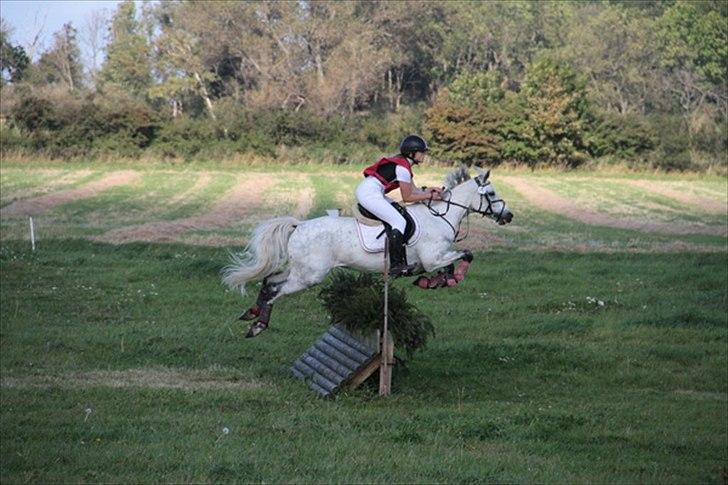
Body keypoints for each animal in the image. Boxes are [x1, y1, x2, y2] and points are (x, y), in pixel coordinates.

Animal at [225, 165, 516, 336]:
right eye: (491, 193)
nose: (509, 215)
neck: (440, 215)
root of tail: (299, 225)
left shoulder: (434, 259)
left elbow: (450, 263)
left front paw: (434, 282)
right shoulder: (432, 258)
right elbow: (465, 255)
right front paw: (447, 279)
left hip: (302, 271)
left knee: (270, 280)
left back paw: (253, 315)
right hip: (310, 276)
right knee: (277, 290)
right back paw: (258, 324)